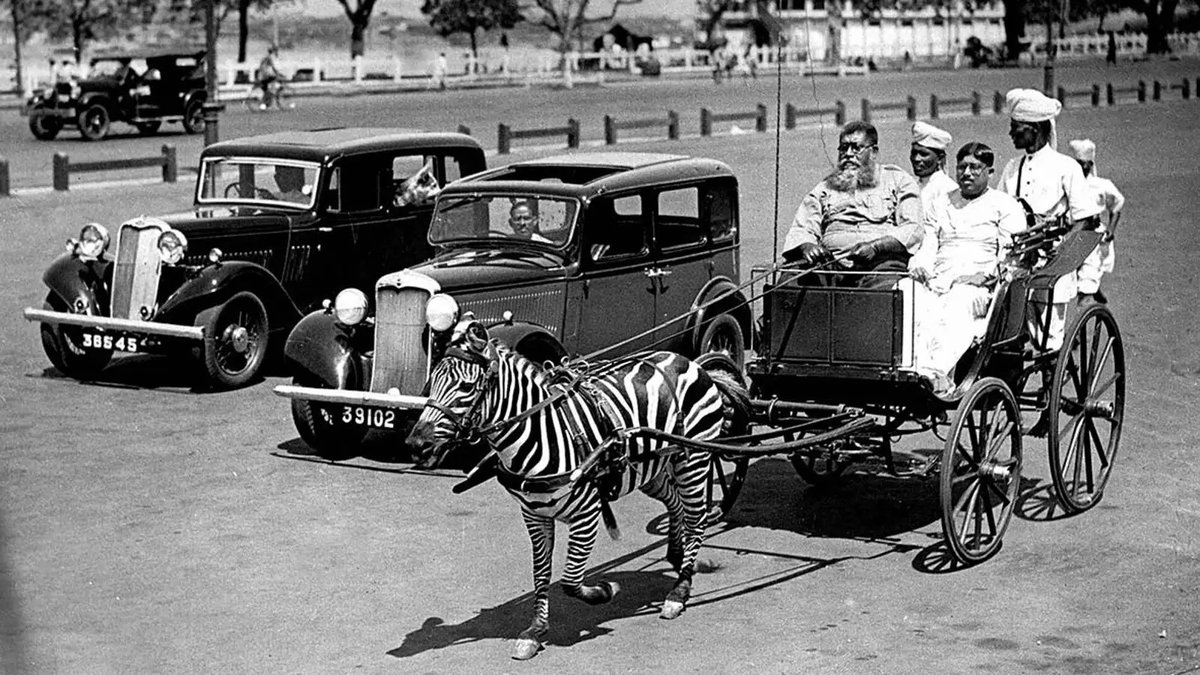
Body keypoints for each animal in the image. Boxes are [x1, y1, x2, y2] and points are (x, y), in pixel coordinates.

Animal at [408, 319, 744, 658]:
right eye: (431, 382)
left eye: (466, 387)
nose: (416, 445)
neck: (542, 433)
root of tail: (689, 361)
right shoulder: (534, 515)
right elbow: (541, 573)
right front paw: (535, 631)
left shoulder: (588, 513)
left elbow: (570, 580)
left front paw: (605, 591)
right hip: (652, 468)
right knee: (675, 505)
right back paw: (677, 557)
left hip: (694, 459)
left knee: (696, 518)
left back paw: (680, 590)